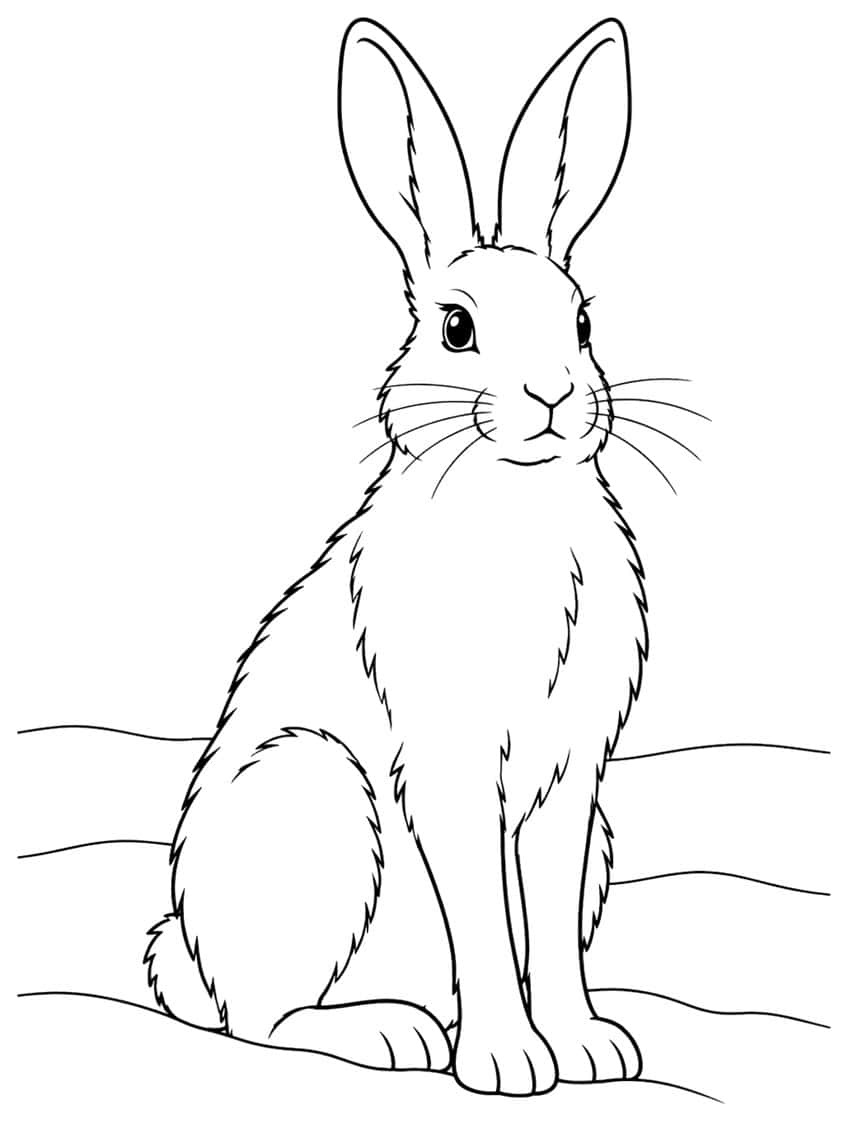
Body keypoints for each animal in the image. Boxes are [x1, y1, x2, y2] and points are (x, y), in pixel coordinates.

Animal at [144, 17, 648, 1097]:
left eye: (582, 321)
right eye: (456, 327)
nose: (554, 394)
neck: (516, 498)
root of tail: (187, 957)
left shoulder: (572, 779)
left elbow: (546, 923)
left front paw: (587, 1047)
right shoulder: (451, 762)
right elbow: (485, 916)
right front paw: (509, 1063)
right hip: (316, 792)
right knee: (264, 1019)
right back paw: (394, 1032)